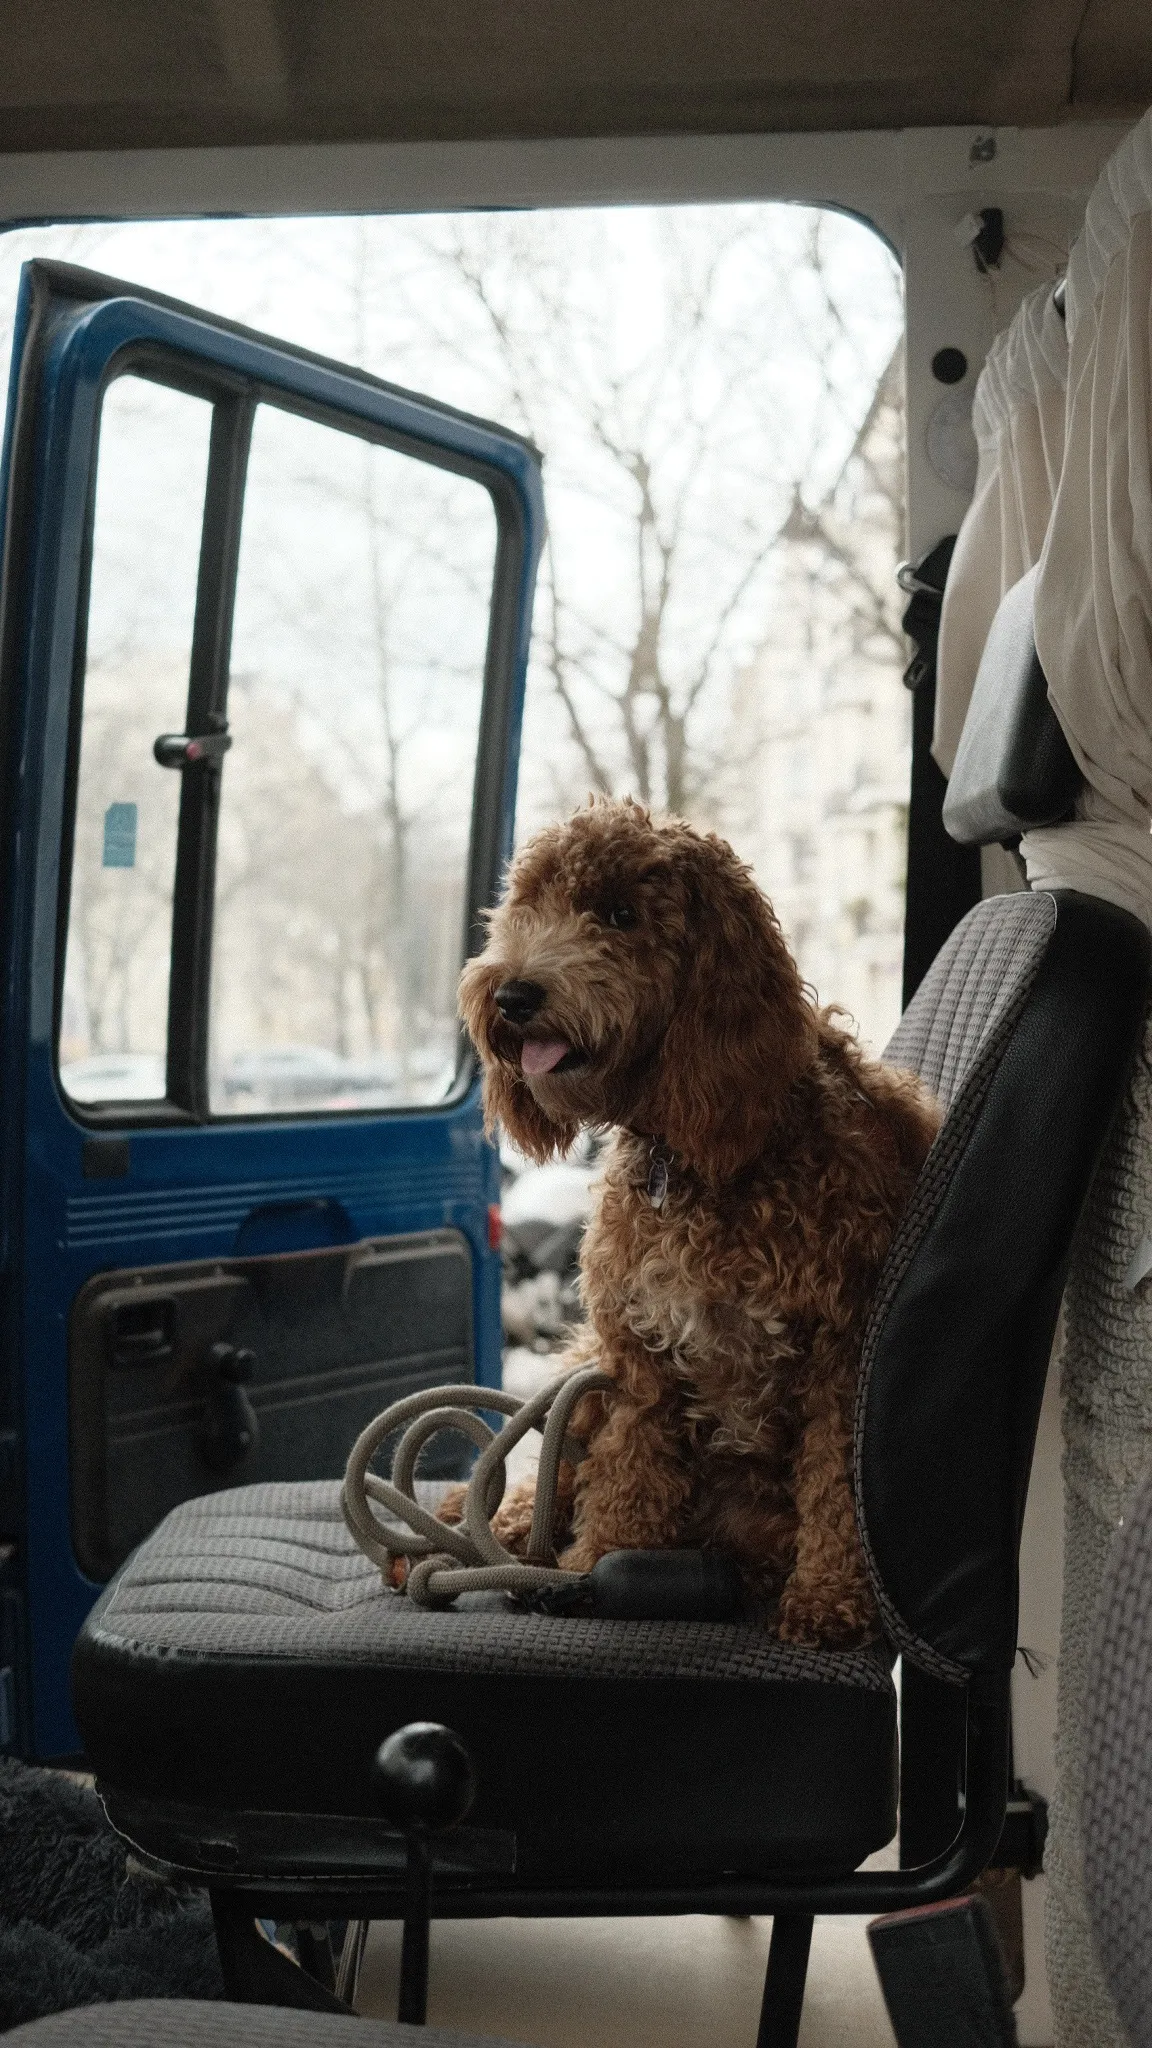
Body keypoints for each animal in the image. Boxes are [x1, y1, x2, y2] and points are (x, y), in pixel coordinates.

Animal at [453, 790, 938, 1638]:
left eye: (618, 914)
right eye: (528, 906)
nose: (511, 995)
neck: (689, 1160)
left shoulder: (839, 1359)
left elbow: (835, 1486)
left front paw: (830, 1596)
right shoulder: (637, 1360)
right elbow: (628, 1474)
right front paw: (597, 1562)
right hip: (585, 1371)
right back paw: (492, 1527)